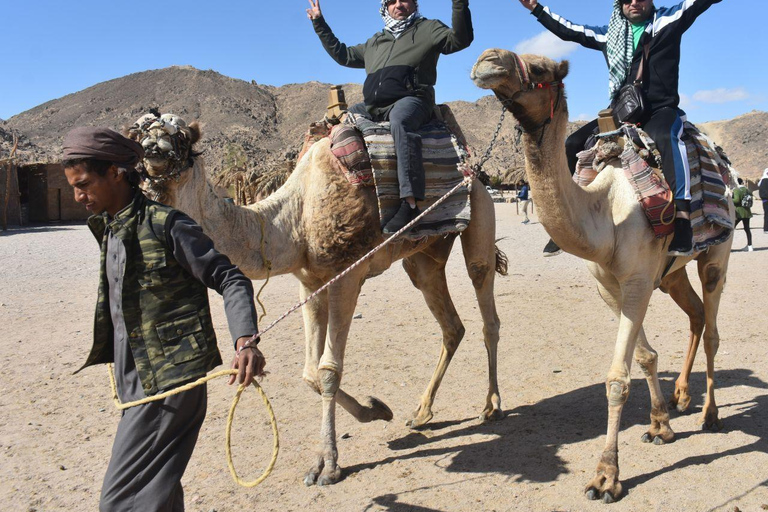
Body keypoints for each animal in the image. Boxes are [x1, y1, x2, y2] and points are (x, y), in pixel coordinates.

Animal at [128, 113, 507, 486]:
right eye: (137, 134)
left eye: (177, 140)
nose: (150, 152)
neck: (294, 218)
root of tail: (472, 167)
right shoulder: (310, 282)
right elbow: (310, 372)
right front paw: (373, 411)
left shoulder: (346, 275)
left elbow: (327, 370)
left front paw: (331, 466)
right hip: (425, 254)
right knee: (450, 323)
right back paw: (421, 412)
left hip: (480, 211)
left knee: (485, 302)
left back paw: (492, 405)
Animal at [471, 50, 733, 502]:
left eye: (540, 69)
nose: (487, 61)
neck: (605, 213)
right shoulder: (610, 286)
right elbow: (645, 358)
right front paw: (659, 426)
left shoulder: (637, 282)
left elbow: (616, 379)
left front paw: (606, 477)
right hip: (672, 274)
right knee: (697, 314)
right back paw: (682, 397)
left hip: (718, 251)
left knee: (713, 325)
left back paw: (710, 414)